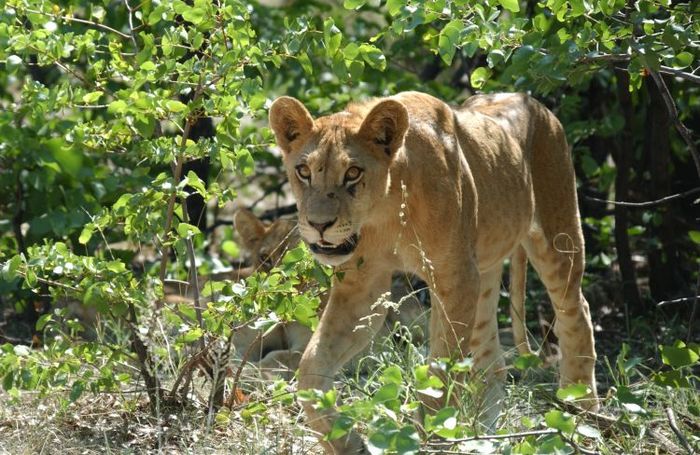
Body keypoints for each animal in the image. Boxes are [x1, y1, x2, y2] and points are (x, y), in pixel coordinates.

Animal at [270, 91, 600, 452]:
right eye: (303, 171)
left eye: (353, 172)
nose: (319, 225)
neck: (386, 210)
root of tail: (530, 100)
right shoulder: (362, 285)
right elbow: (311, 367)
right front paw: (347, 443)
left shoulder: (455, 278)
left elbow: (440, 376)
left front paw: (432, 437)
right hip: (484, 273)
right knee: (491, 363)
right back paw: (486, 438)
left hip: (557, 235)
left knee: (577, 314)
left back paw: (582, 417)